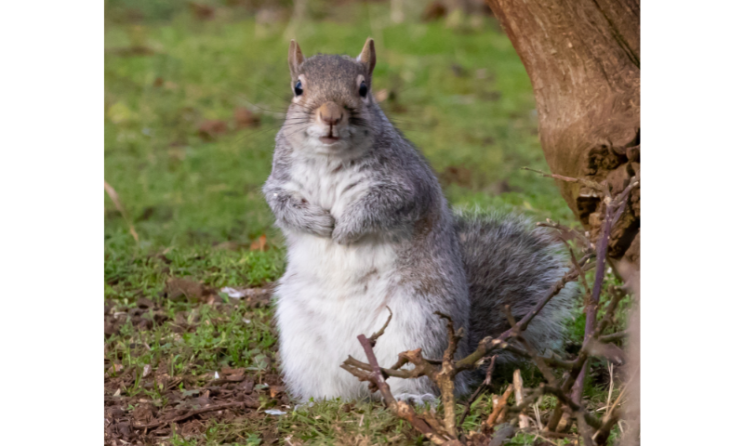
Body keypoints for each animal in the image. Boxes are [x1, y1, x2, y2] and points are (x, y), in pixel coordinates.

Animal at [263, 38, 577, 404]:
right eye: (298, 88)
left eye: (364, 89)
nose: (330, 115)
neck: (330, 158)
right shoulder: (281, 181)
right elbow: (281, 204)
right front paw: (318, 223)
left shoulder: (406, 186)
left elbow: (381, 207)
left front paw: (345, 228)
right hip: (299, 335)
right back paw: (320, 401)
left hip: (419, 321)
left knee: (422, 377)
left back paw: (412, 397)